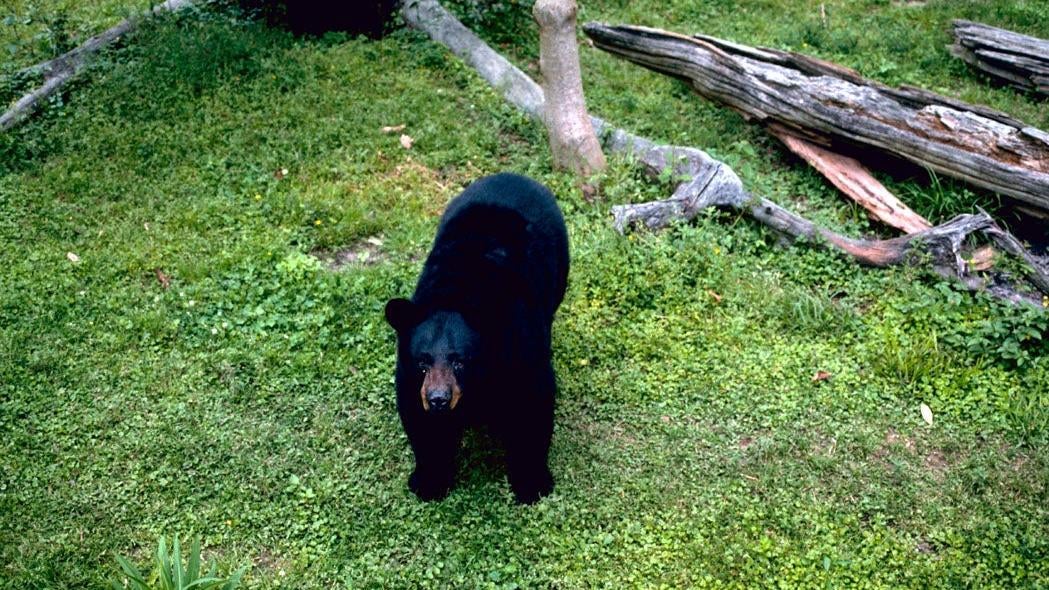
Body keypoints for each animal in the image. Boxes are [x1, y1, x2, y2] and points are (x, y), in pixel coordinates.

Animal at [384, 173, 569, 504]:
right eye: (422, 361)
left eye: (459, 360)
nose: (439, 399)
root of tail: (513, 175)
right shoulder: (410, 376)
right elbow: (419, 418)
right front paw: (429, 481)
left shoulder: (521, 348)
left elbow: (532, 405)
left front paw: (532, 484)